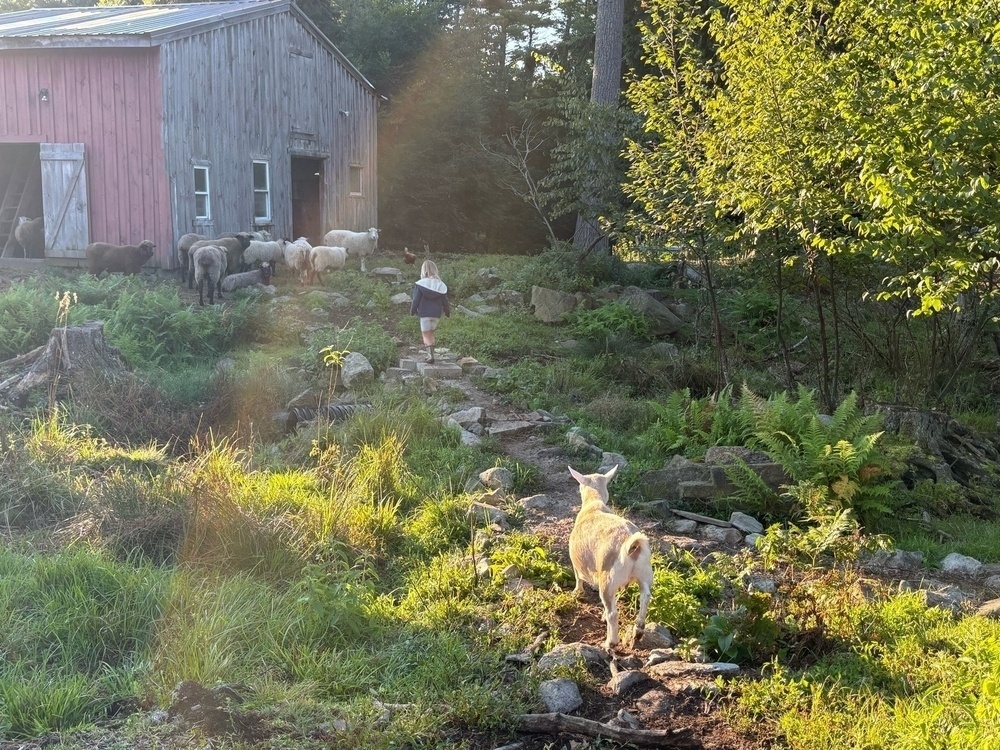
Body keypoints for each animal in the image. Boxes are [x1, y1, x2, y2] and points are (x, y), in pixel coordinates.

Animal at [568, 464, 652, 652]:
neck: (594, 505)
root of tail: (631, 546)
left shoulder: (576, 561)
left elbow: (578, 577)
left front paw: (577, 592)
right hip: (644, 574)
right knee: (645, 596)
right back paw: (639, 630)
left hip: (606, 579)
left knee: (614, 613)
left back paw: (610, 642)